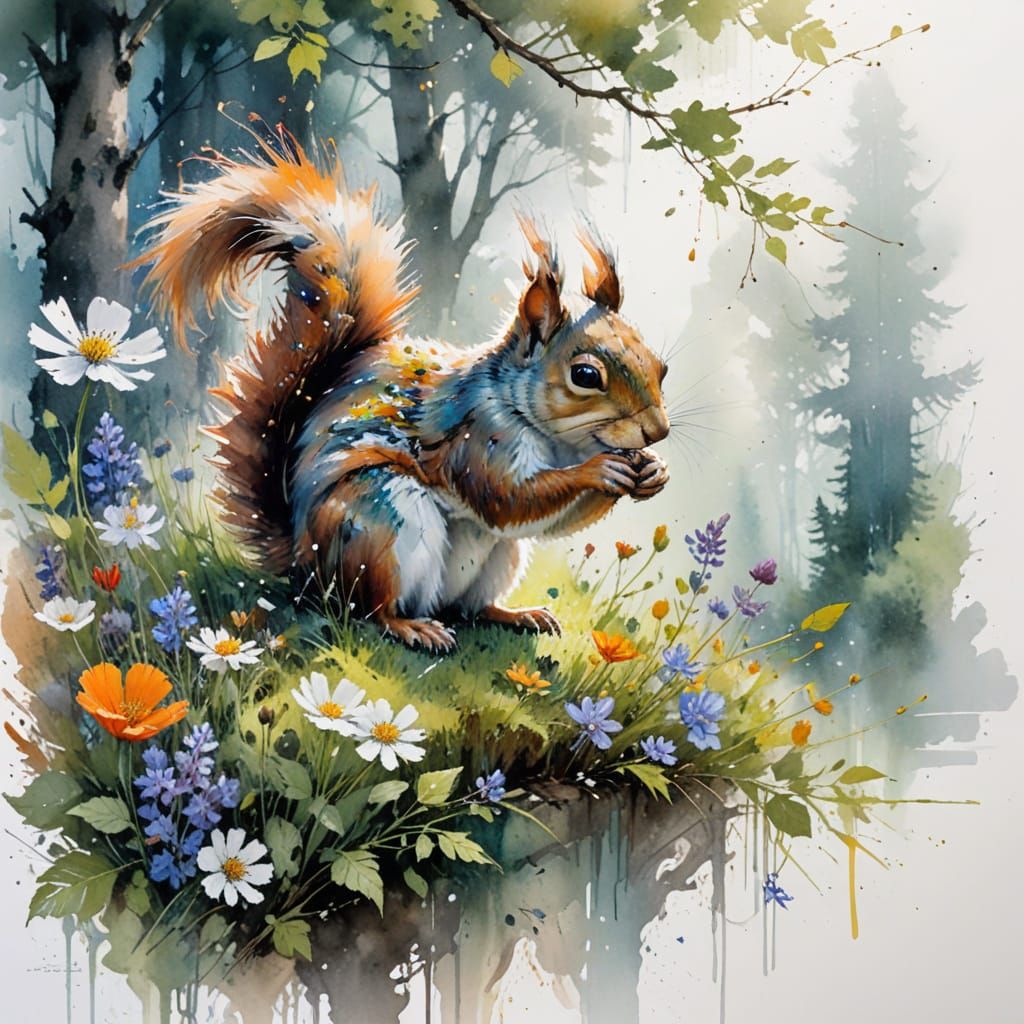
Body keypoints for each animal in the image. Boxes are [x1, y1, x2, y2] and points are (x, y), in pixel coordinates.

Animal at [134, 135, 671, 653]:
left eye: (660, 367)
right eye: (585, 375)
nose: (658, 431)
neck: (559, 439)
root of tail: (305, 568)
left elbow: (550, 521)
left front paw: (652, 473)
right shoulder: (477, 437)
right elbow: (506, 498)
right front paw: (599, 472)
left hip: (497, 558)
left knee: (470, 607)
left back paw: (516, 614)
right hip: (380, 523)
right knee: (372, 609)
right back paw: (412, 627)